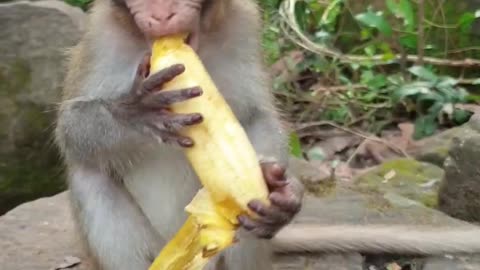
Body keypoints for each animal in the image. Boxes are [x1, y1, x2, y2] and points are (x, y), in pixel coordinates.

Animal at [55, 0, 304, 270]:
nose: (162, 16)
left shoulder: (244, 26)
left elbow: (258, 116)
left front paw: (280, 189)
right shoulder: (100, 37)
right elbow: (71, 125)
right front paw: (136, 111)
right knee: (89, 173)